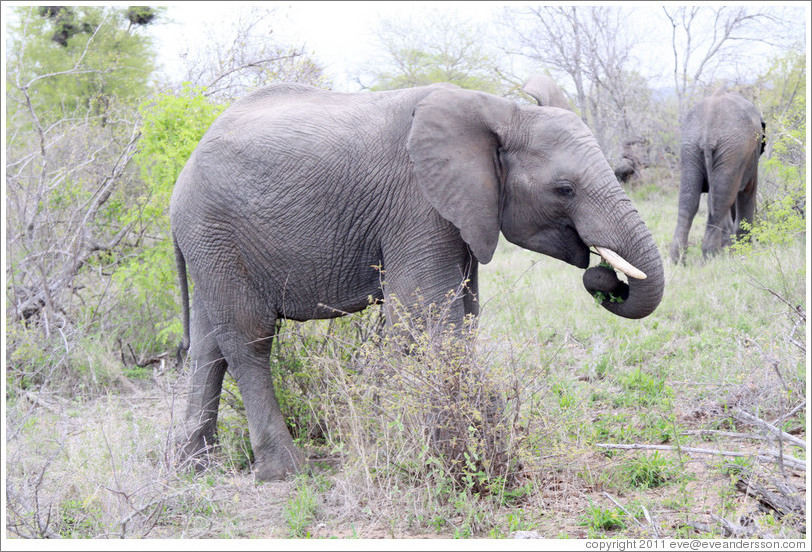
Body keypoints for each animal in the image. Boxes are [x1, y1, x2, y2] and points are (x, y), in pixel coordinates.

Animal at [170, 80, 665, 481]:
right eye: (564, 189)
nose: (603, 276)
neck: (500, 111)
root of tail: (182, 176)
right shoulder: (418, 204)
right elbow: (425, 311)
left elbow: (463, 314)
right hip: (214, 231)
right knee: (249, 339)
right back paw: (286, 472)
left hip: (210, 244)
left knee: (210, 344)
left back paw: (195, 466)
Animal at [669, 87, 766, 263]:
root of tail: (708, 132)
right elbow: (747, 193)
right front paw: (744, 251)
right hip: (732, 150)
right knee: (722, 201)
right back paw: (711, 256)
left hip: (690, 147)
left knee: (689, 202)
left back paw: (678, 260)